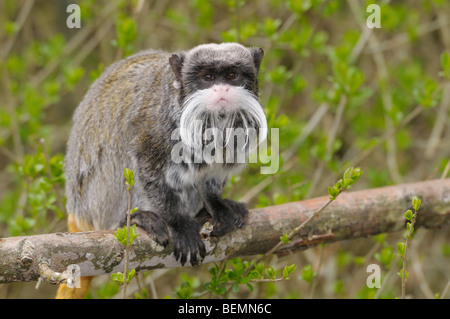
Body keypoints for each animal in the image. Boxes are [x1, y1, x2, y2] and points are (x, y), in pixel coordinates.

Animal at [56, 42, 268, 300]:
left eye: (231, 75)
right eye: (207, 78)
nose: (221, 90)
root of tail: (77, 213)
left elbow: (214, 174)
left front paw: (215, 203)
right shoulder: (159, 125)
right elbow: (148, 167)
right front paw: (178, 223)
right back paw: (132, 218)